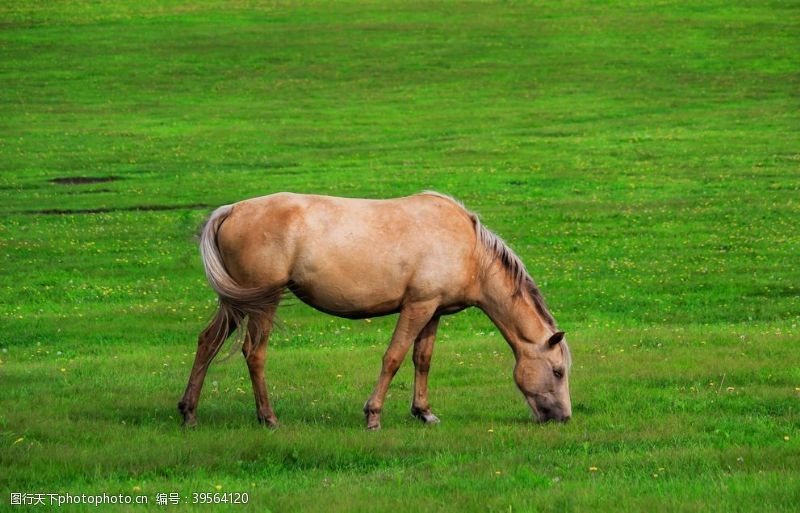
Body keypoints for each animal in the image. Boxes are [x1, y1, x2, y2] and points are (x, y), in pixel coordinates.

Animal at [179, 191, 572, 428]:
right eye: (557, 372)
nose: (564, 417)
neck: (469, 249)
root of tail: (233, 209)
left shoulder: (434, 311)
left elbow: (422, 360)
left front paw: (424, 412)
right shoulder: (417, 306)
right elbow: (394, 358)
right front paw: (373, 415)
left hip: (236, 304)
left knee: (207, 342)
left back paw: (189, 412)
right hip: (263, 304)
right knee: (254, 353)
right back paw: (268, 417)